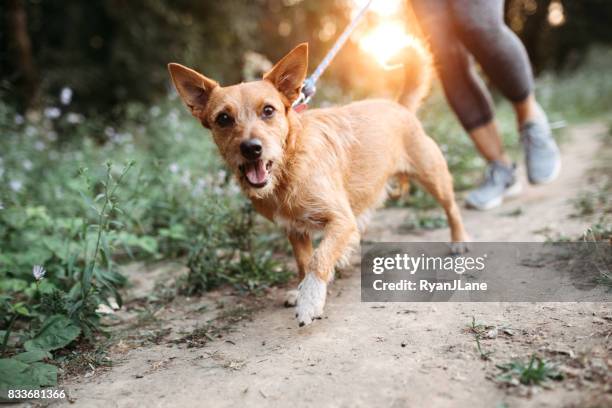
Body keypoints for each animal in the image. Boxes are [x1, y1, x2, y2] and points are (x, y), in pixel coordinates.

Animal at [167, 43, 468, 326]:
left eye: (268, 111)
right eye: (223, 118)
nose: (251, 148)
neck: (287, 169)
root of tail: (398, 106)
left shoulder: (340, 220)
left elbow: (319, 258)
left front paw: (310, 300)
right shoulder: (295, 230)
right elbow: (304, 261)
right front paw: (302, 290)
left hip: (433, 175)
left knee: (451, 208)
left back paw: (459, 241)